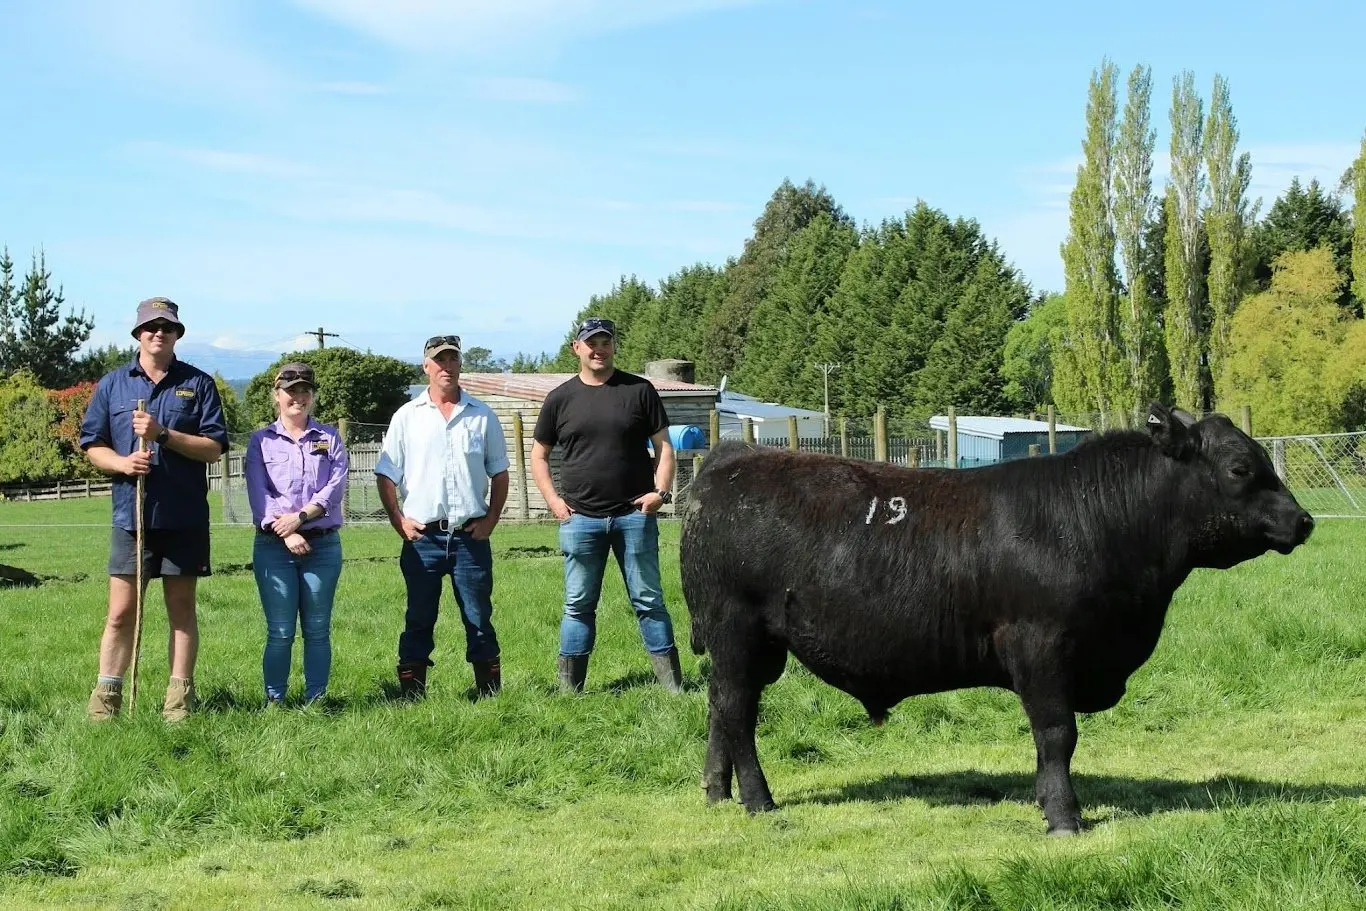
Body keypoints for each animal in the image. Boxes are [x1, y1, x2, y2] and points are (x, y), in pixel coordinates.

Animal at [680, 403, 1315, 835]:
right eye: (1240, 467)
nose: (1304, 520)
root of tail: (729, 461)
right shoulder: (1040, 646)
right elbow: (1057, 734)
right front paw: (1064, 817)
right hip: (736, 631)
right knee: (737, 712)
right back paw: (759, 800)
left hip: (754, 646)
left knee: (719, 708)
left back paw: (716, 791)